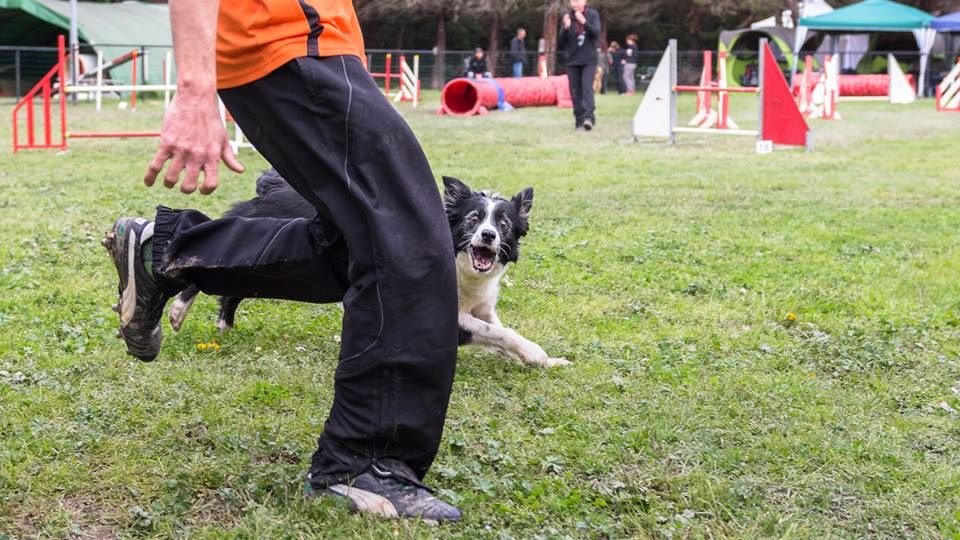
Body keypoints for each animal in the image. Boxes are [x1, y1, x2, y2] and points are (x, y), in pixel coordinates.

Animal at [170, 171, 568, 370]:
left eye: (503, 224)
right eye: (473, 219)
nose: (487, 236)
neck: (462, 268)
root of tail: (270, 187)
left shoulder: (481, 306)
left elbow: (498, 329)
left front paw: (545, 360)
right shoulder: (444, 313)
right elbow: (499, 332)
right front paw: (534, 353)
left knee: (233, 288)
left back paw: (223, 325)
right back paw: (177, 310)